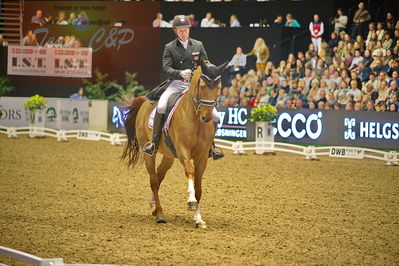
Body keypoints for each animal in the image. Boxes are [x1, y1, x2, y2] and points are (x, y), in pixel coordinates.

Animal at [122, 62, 227, 229]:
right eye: (202, 86)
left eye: (218, 87)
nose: (207, 117)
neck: (195, 119)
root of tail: (145, 102)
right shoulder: (183, 151)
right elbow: (189, 171)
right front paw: (191, 202)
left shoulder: (202, 156)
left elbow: (198, 186)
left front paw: (198, 219)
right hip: (148, 153)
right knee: (154, 180)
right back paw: (160, 214)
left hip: (169, 156)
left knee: (159, 177)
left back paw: (154, 207)